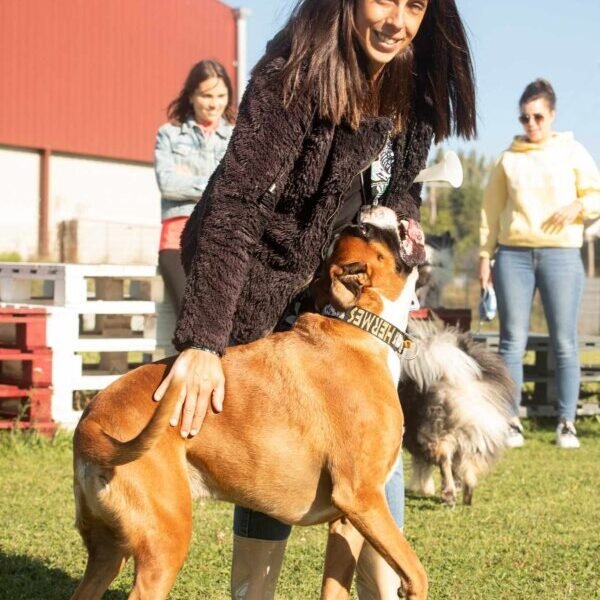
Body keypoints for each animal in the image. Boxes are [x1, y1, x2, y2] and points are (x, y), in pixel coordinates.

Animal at [70, 207, 426, 600]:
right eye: (366, 231)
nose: (367, 209)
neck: (362, 327)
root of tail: (91, 418)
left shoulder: (348, 523)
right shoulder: (362, 498)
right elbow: (416, 572)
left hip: (107, 555)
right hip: (163, 548)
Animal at [400, 318, 512, 506]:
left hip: (434, 432)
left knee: (444, 459)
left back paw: (449, 495)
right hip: (471, 432)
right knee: (465, 463)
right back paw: (466, 491)